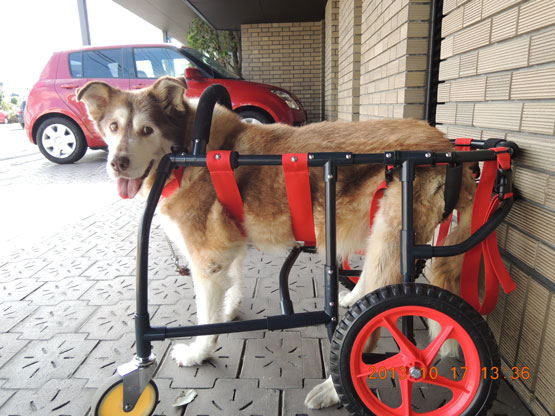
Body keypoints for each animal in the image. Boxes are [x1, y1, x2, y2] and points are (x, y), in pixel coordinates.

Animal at [77, 76, 475, 410]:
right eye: (113, 127)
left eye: (146, 129)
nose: (117, 163)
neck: (189, 146)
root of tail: (446, 147)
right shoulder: (228, 247)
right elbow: (232, 284)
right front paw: (228, 309)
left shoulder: (205, 258)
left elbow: (204, 316)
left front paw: (196, 352)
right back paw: (354, 300)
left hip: (390, 239)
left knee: (376, 322)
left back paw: (334, 388)